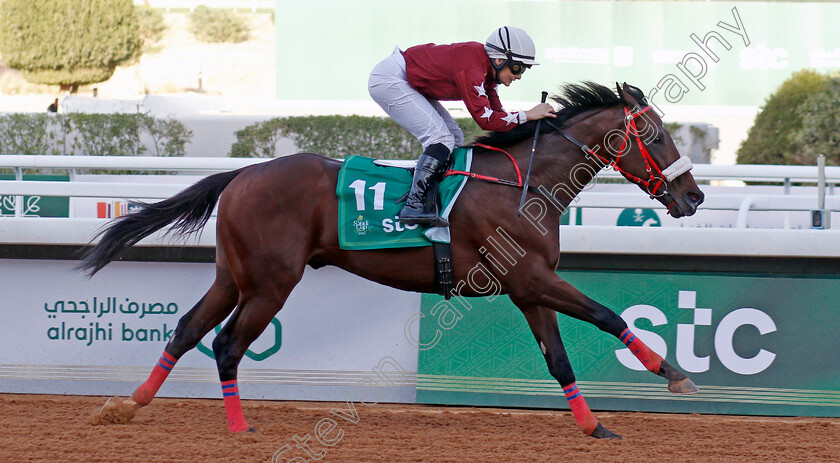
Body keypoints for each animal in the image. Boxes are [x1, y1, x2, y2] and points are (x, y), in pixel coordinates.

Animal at [83, 81, 704, 440]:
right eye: (655, 134)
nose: (693, 196)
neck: (523, 185)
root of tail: (242, 174)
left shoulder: (530, 288)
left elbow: (559, 360)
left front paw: (595, 426)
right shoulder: (531, 276)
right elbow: (606, 315)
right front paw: (673, 374)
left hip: (233, 277)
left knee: (188, 329)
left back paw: (128, 404)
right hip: (269, 284)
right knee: (228, 344)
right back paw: (239, 428)